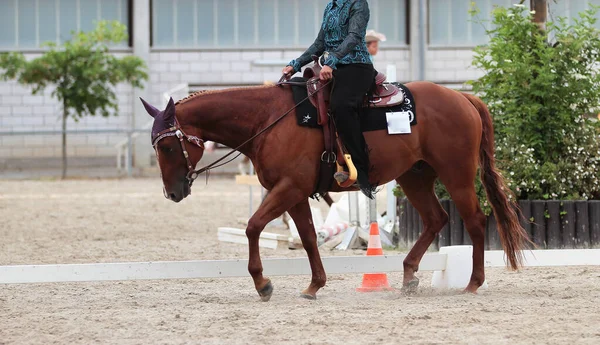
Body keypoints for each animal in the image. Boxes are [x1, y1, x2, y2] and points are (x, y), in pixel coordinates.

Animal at [141, 80, 528, 298]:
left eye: (168, 146)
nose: (172, 193)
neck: (269, 119)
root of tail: (463, 97)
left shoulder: (288, 188)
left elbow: (253, 227)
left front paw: (263, 284)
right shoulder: (293, 193)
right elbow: (309, 237)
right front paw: (314, 285)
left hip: (456, 175)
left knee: (475, 221)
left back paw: (473, 283)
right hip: (414, 177)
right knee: (436, 219)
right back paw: (408, 275)